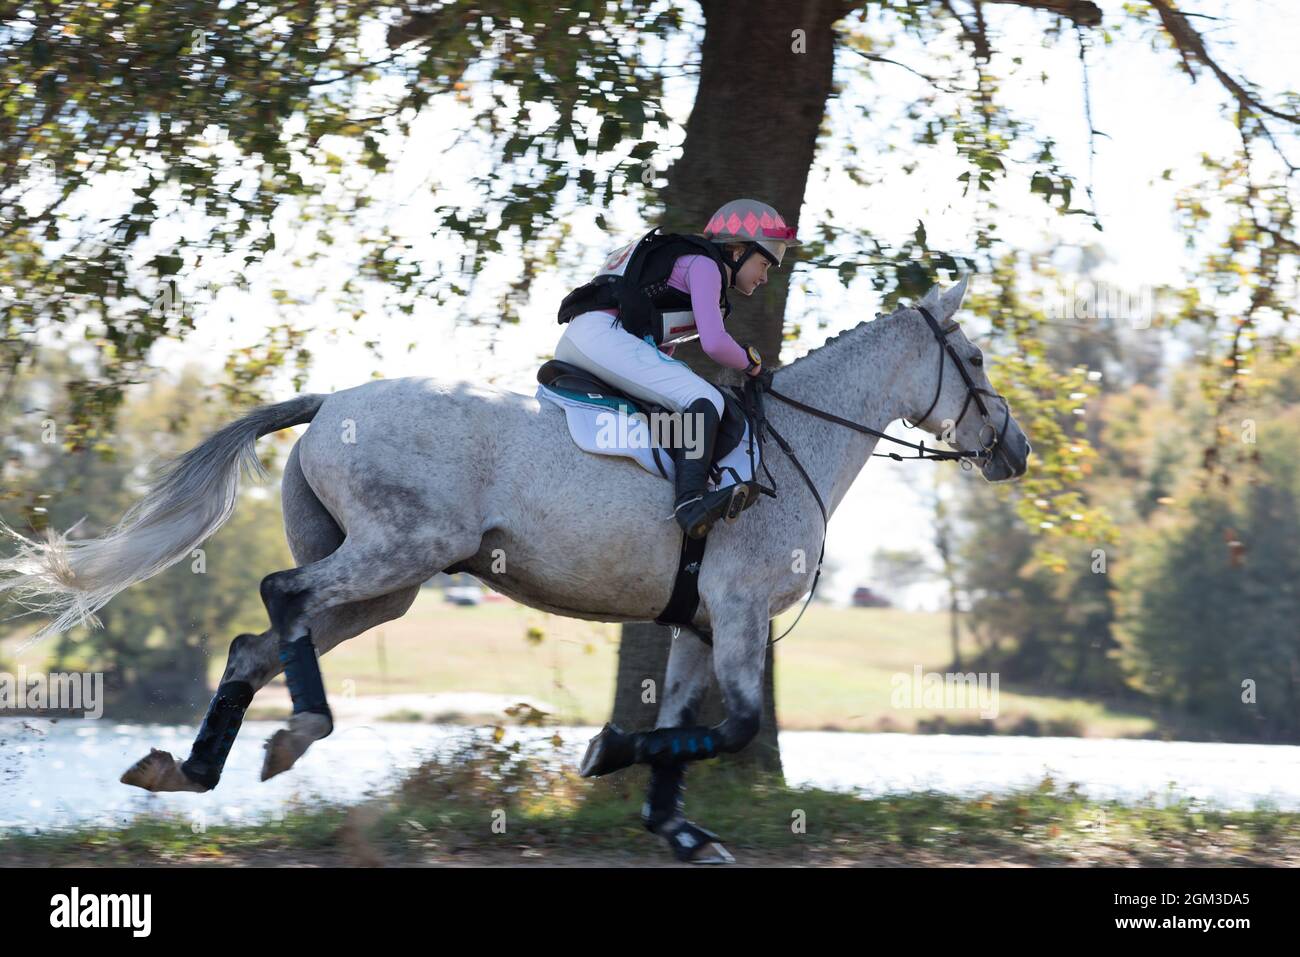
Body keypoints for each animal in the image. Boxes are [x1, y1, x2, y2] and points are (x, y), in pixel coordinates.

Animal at [0, 277, 1029, 863]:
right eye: (976, 358)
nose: (1015, 448)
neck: (795, 444)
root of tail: (331, 399)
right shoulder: (739, 612)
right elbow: (730, 725)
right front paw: (604, 752)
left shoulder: (702, 620)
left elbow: (681, 728)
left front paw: (677, 829)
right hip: (396, 552)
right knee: (280, 600)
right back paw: (297, 731)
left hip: (388, 584)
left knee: (259, 641)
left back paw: (192, 767)